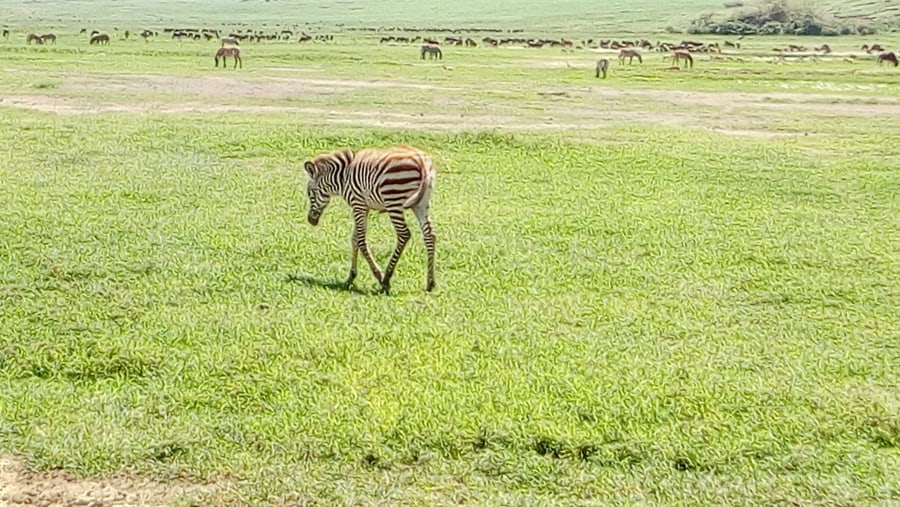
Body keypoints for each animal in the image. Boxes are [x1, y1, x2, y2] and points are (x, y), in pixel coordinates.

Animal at [304, 144, 438, 294]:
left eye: (310, 193)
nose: (311, 220)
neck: (343, 178)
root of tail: (422, 162)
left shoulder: (358, 205)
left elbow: (361, 241)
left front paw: (378, 275)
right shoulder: (364, 207)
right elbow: (355, 239)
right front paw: (350, 277)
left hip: (393, 200)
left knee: (404, 234)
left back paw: (386, 279)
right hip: (421, 204)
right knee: (430, 235)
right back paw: (430, 282)